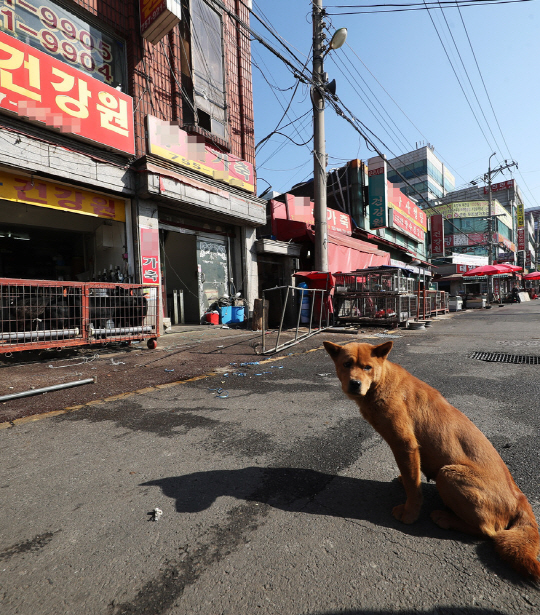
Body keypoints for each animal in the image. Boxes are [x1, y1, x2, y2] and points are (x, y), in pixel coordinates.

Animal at [324, 340, 540, 580]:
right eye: (346, 364)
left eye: (367, 367)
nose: (354, 384)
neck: (381, 381)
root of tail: (520, 497)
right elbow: (411, 475)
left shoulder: (405, 444)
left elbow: (413, 485)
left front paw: (410, 513)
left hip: (448, 474)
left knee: (489, 530)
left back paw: (446, 519)